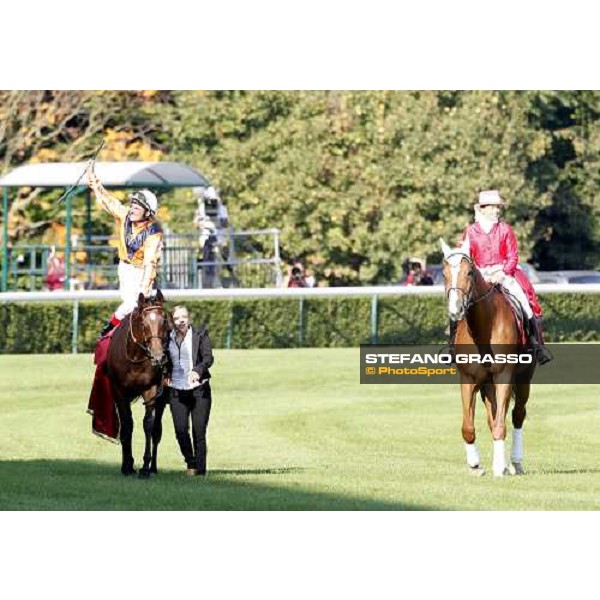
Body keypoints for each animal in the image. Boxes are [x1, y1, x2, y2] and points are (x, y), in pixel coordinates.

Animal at [106, 290, 169, 478]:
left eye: (165, 320)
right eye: (143, 321)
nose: (158, 356)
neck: (135, 358)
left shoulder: (151, 390)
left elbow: (148, 424)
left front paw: (145, 467)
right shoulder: (119, 391)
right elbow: (127, 424)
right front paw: (127, 464)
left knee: (157, 429)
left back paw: (153, 467)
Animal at [440, 237, 536, 476]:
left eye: (469, 273)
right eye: (444, 274)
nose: (455, 310)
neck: (484, 327)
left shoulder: (504, 377)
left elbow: (502, 424)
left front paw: (499, 467)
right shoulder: (469, 380)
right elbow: (468, 426)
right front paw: (475, 465)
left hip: (523, 379)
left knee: (517, 415)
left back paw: (515, 463)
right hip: (487, 385)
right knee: (493, 418)